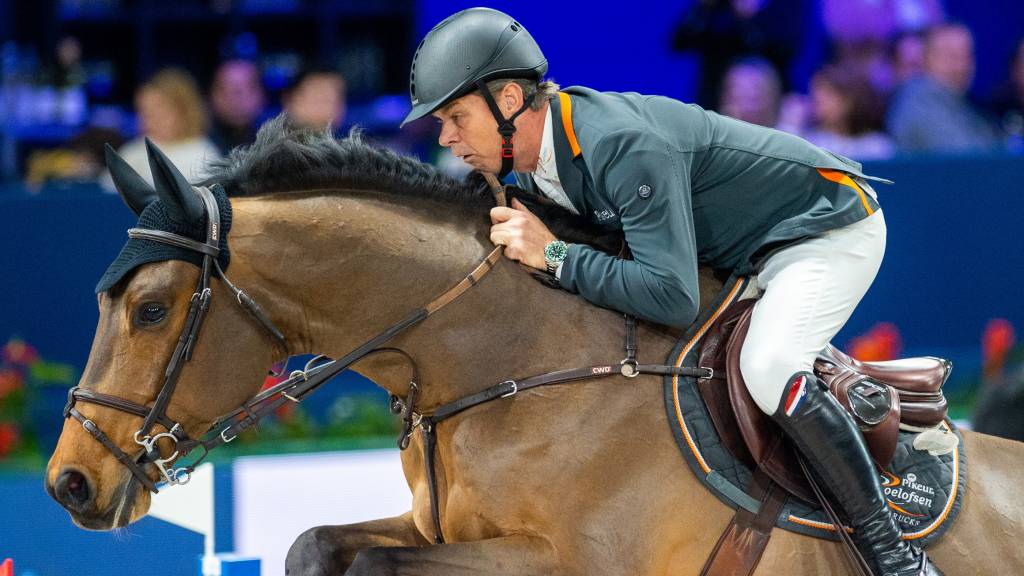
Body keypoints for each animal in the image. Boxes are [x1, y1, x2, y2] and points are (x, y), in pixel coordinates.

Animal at [46, 118, 1024, 575]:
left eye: (151, 309)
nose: (69, 484)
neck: (509, 367)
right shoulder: (436, 526)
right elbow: (320, 545)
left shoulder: (576, 563)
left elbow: (373, 561)